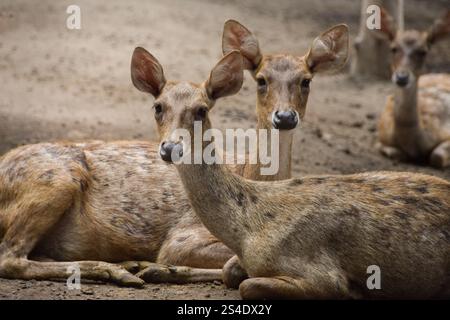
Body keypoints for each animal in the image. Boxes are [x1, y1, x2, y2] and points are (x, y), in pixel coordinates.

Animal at [0, 51, 246, 286]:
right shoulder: (184, 237)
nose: (170, 148)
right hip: (55, 182)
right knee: (10, 258)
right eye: (158, 107)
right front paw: (162, 270)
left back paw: (131, 265)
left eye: (202, 110)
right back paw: (118, 271)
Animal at [141, 48, 450, 300]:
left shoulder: (320, 273)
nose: (170, 147)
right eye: (158, 107)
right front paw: (154, 270)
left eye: (201, 110)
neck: (246, 229)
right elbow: (231, 271)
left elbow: (248, 285)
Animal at [376, 9, 450, 168]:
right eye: (393, 48)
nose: (402, 77)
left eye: (423, 51)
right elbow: (395, 152)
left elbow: (437, 156)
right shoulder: (382, 134)